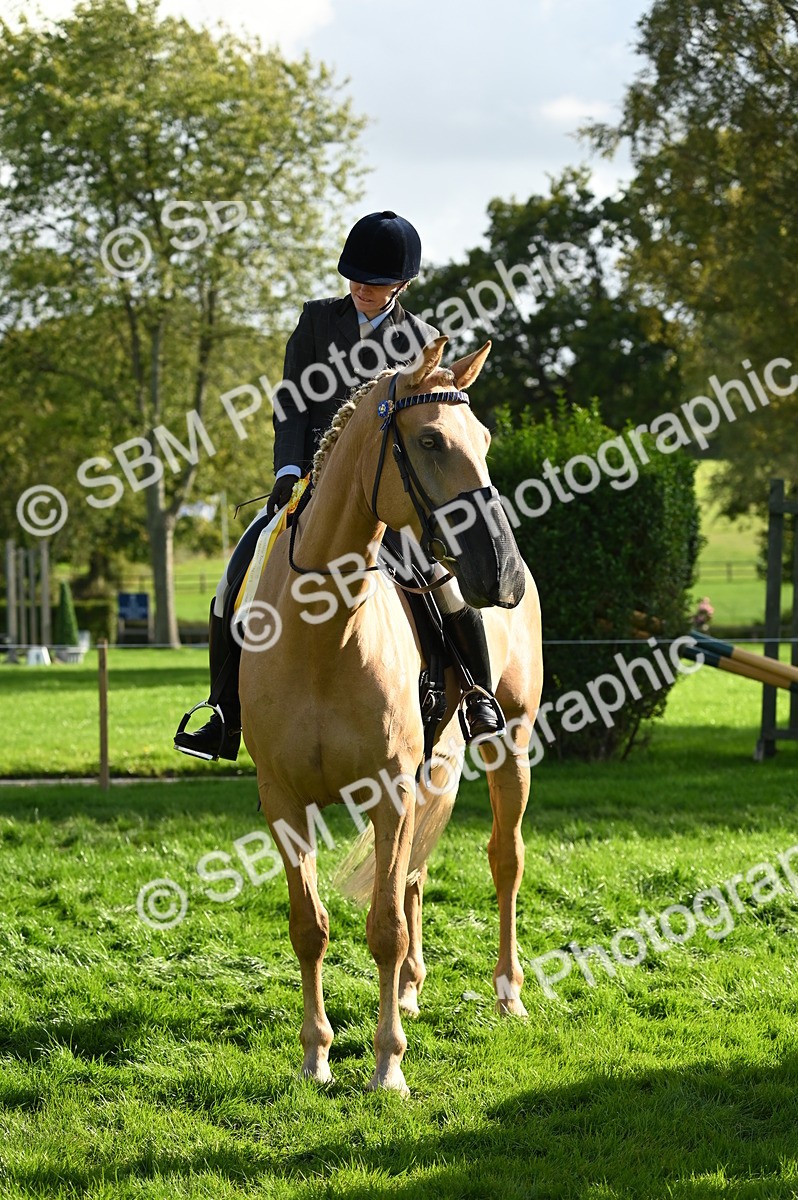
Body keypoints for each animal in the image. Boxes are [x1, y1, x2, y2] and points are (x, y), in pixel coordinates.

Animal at [239, 337, 543, 1096]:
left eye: (484, 439)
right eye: (430, 440)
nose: (503, 576)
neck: (323, 635)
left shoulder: (391, 790)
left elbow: (383, 929)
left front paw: (387, 1066)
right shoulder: (282, 800)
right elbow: (310, 926)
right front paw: (316, 1056)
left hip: (508, 741)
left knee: (504, 859)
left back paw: (507, 994)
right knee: (413, 875)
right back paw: (409, 988)